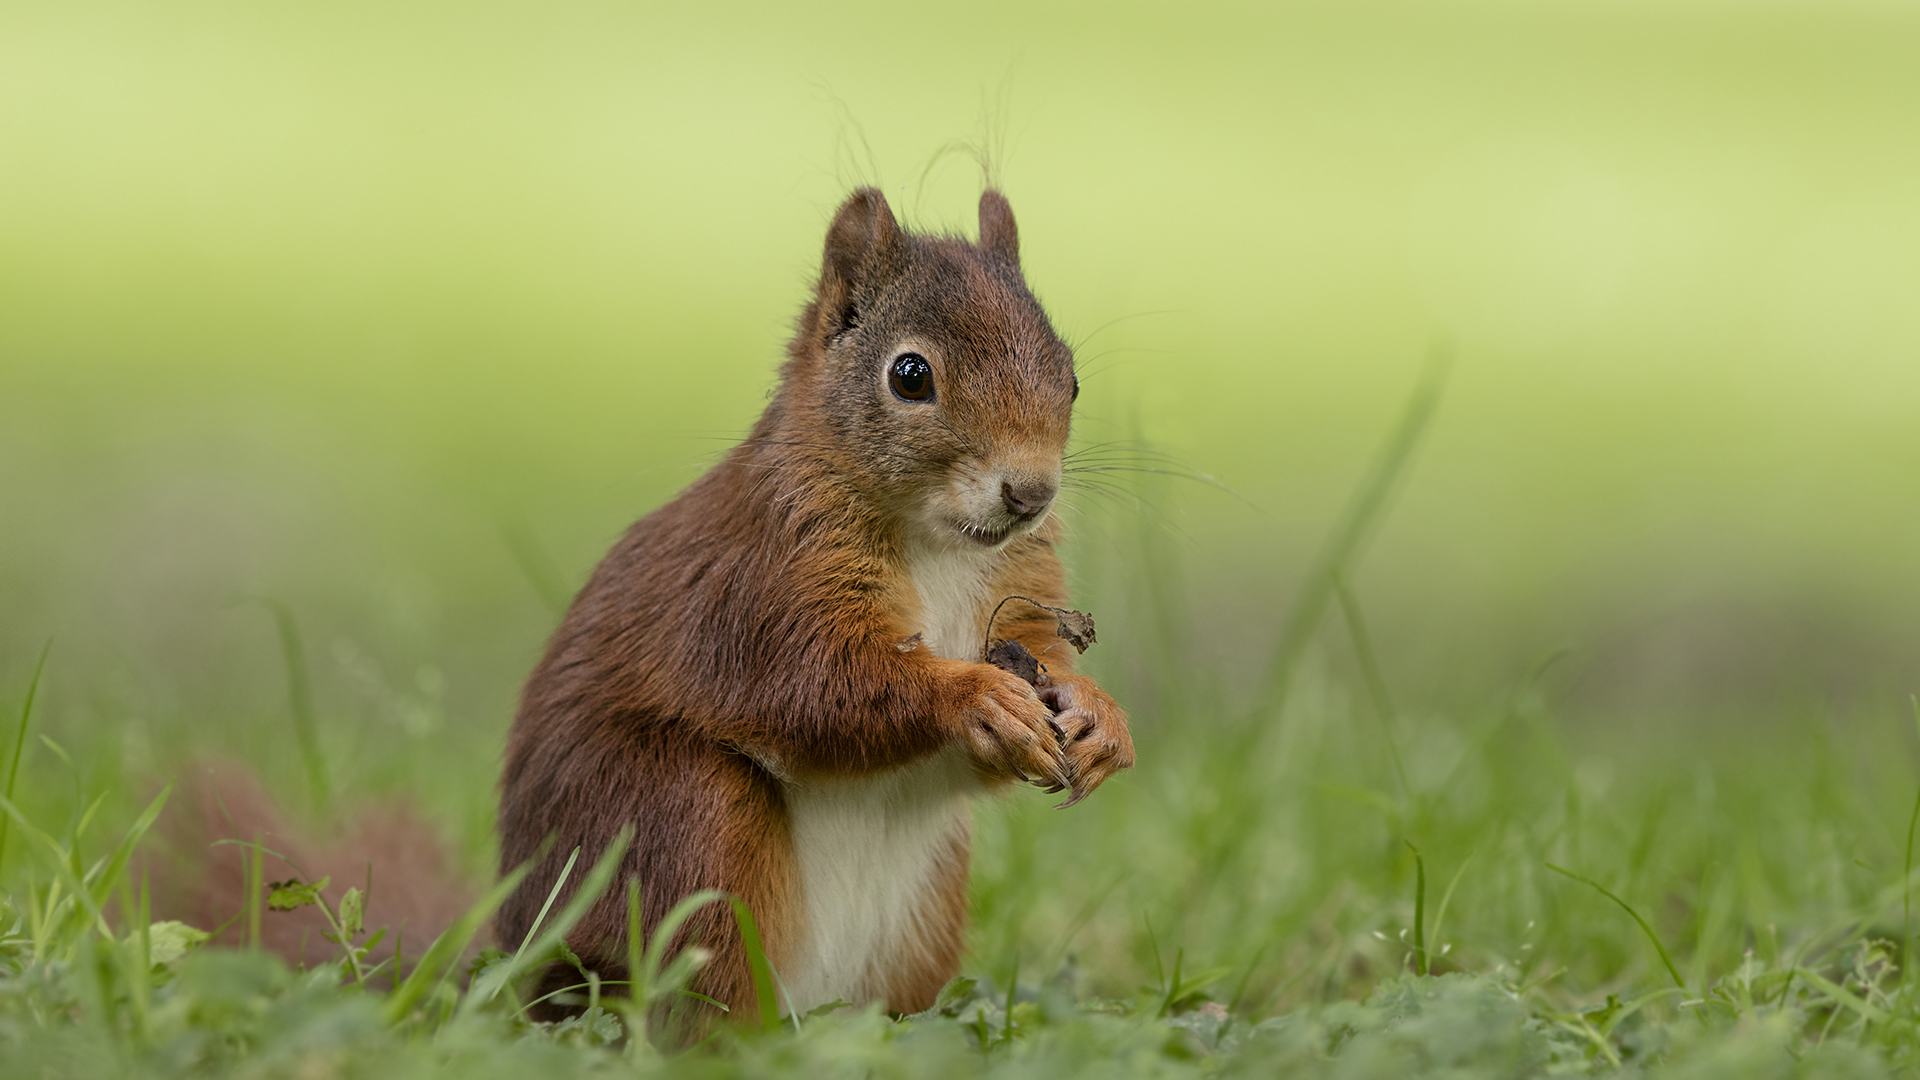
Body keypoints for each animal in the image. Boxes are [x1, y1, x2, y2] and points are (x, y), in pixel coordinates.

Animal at [495, 184, 1128, 1014]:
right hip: (679, 823)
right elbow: (821, 690)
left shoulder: (1021, 601)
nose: (1031, 494)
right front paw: (975, 699)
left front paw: (1100, 717)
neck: (941, 546)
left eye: (1073, 376)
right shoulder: (761, 587)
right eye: (910, 376)